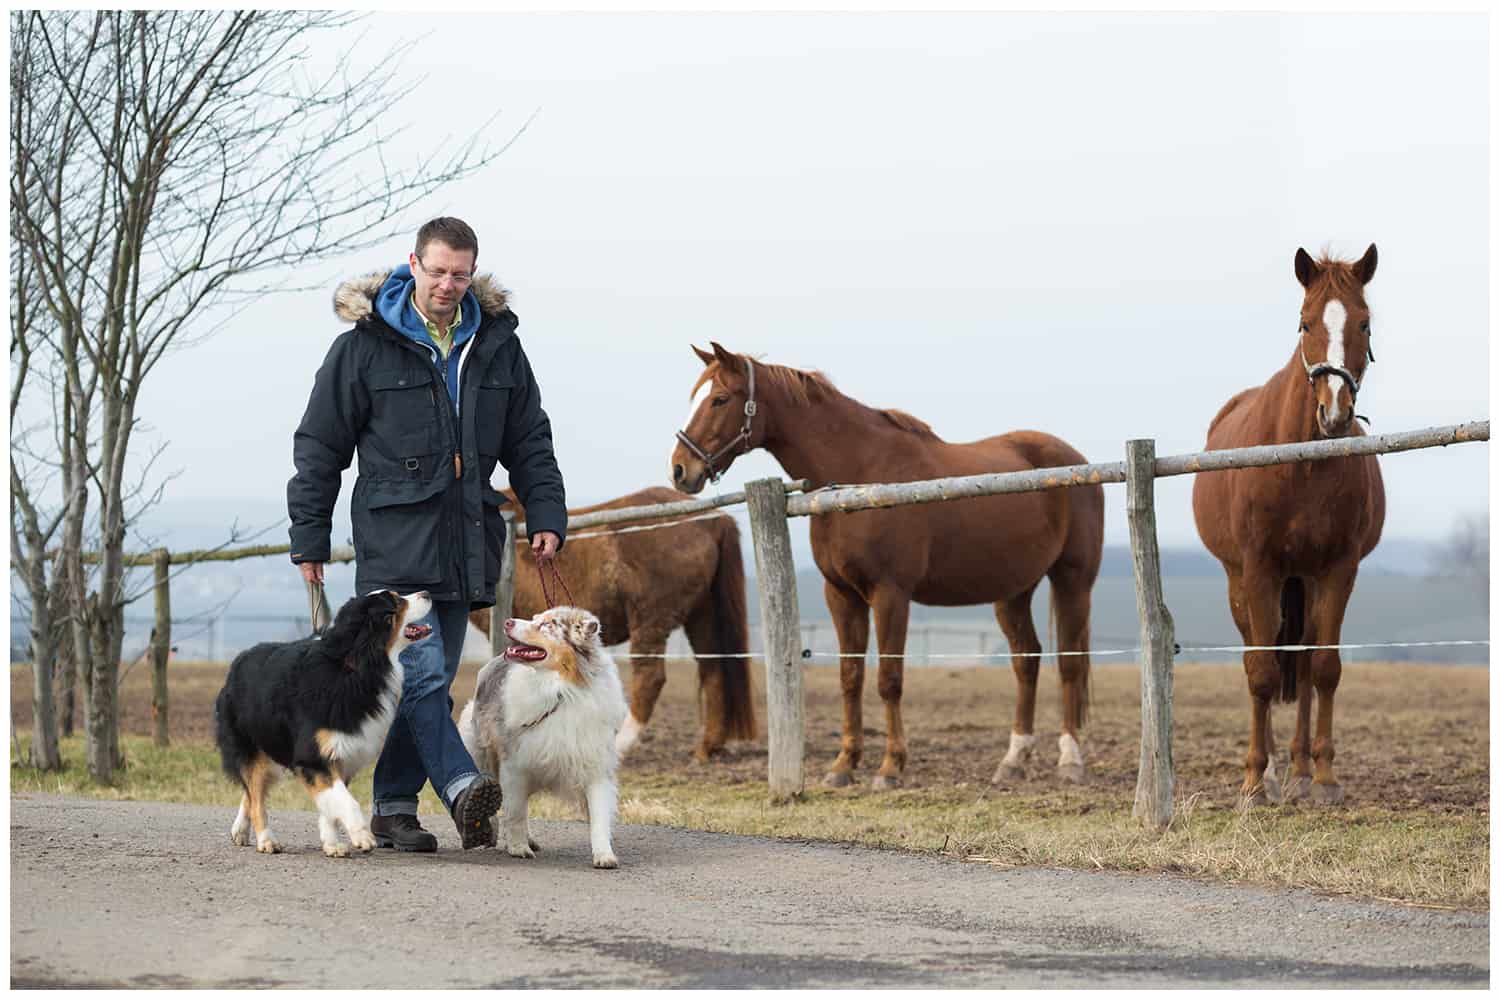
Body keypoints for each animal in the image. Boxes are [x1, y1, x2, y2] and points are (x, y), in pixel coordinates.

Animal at [211, 590, 435, 857]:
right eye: (396, 602)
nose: (427, 593)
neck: (356, 666)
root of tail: (237, 661)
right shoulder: (312, 755)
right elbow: (346, 800)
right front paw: (361, 836)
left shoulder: (341, 752)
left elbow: (331, 803)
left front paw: (332, 844)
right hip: (251, 744)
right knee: (255, 793)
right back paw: (266, 840)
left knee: (252, 791)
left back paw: (240, 830)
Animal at [465, 488, 750, 761]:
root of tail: (714, 520)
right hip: (702, 616)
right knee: (713, 670)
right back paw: (707, 748)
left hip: (650, 620)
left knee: (650, 678)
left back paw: (620, 743)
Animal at [669, 344, 1104, 791]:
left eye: (720, 399)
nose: (681, 469)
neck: (859, 476)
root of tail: (1074, 461)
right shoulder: (841, 595)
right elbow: (850, 677)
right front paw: (844, 764)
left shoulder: (890, 594)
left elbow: (888, 680)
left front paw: (890, 767)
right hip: (1013, 591)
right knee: (1026, 660)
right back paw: (1013, 761)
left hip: (1073, 581)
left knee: (1069, 664)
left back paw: (1070, 760)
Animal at [1188, 245, 1386, 809]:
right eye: (1305, 322)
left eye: (1364, 323)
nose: (1335, 413)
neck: (1302, 464)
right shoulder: (1258, 570)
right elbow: (1261, 673)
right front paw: (1255, 783)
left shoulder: (1338, 569)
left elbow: (1323, 668)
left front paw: (1323, 778)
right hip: (1245, 582)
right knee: (1260, 655)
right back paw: (1273, 770)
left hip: (1306, 580)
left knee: (1299, 653)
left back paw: (1297, 768)